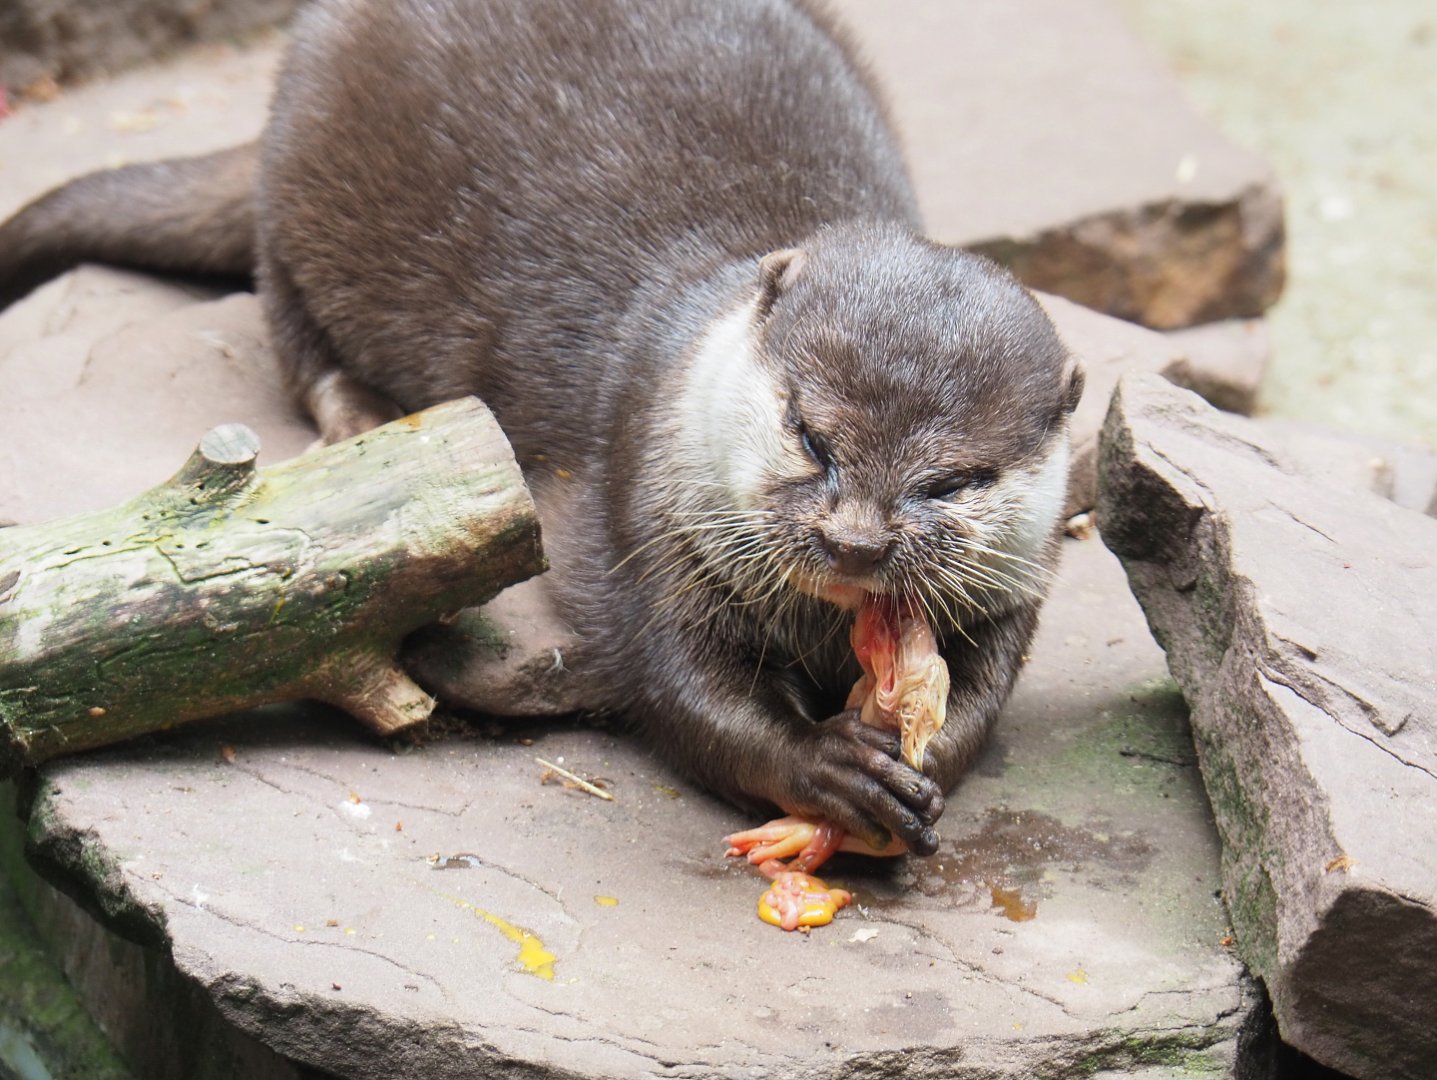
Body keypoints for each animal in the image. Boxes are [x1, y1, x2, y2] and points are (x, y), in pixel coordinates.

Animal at [0, 0, 1082, 855]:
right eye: (810, 434)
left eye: (951, 482)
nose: (854, 542)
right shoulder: (640, 511)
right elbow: (676, 687)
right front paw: (823, 764)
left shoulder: (1025, 574)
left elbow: (988, 687)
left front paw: (928, 755)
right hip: (302, 159)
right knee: (283, 308)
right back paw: (360, 415)